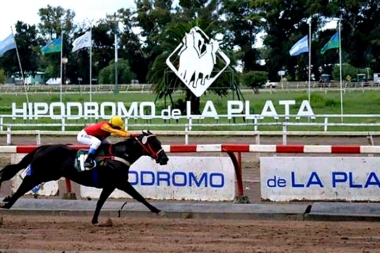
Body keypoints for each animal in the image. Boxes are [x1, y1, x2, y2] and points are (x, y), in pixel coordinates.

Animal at [0, 130, 168, 223]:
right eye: (154, 144)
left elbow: (100, 202)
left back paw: (7, 200)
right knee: (25, 185)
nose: (164, 159)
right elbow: (139, 196)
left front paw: (94, 220)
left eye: (160, 142)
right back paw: (7, 203)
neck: (118, 155)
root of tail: (42, 147)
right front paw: (158, 210)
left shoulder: (110, 185)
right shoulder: (120, 182)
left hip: (49, 175)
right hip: (41, 173)